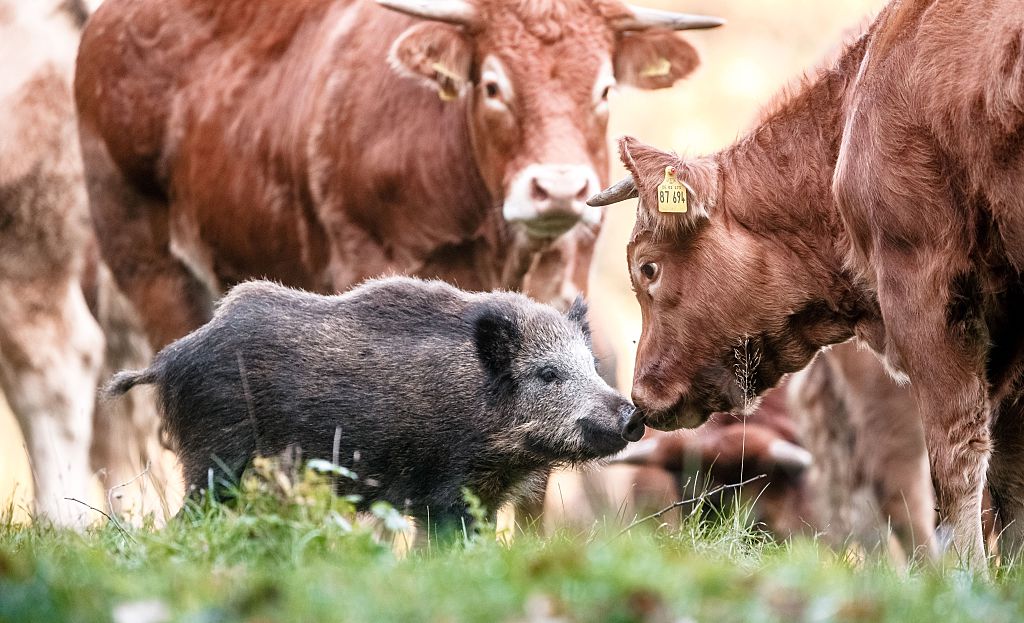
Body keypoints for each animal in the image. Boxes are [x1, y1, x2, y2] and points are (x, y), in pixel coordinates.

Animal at [589, 0, 1024, 570]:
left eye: (647, 267)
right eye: (689, 504)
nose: (641, 395)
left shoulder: (926, 302)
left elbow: (955, 465)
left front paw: (967, 576)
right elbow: (1010, 478)